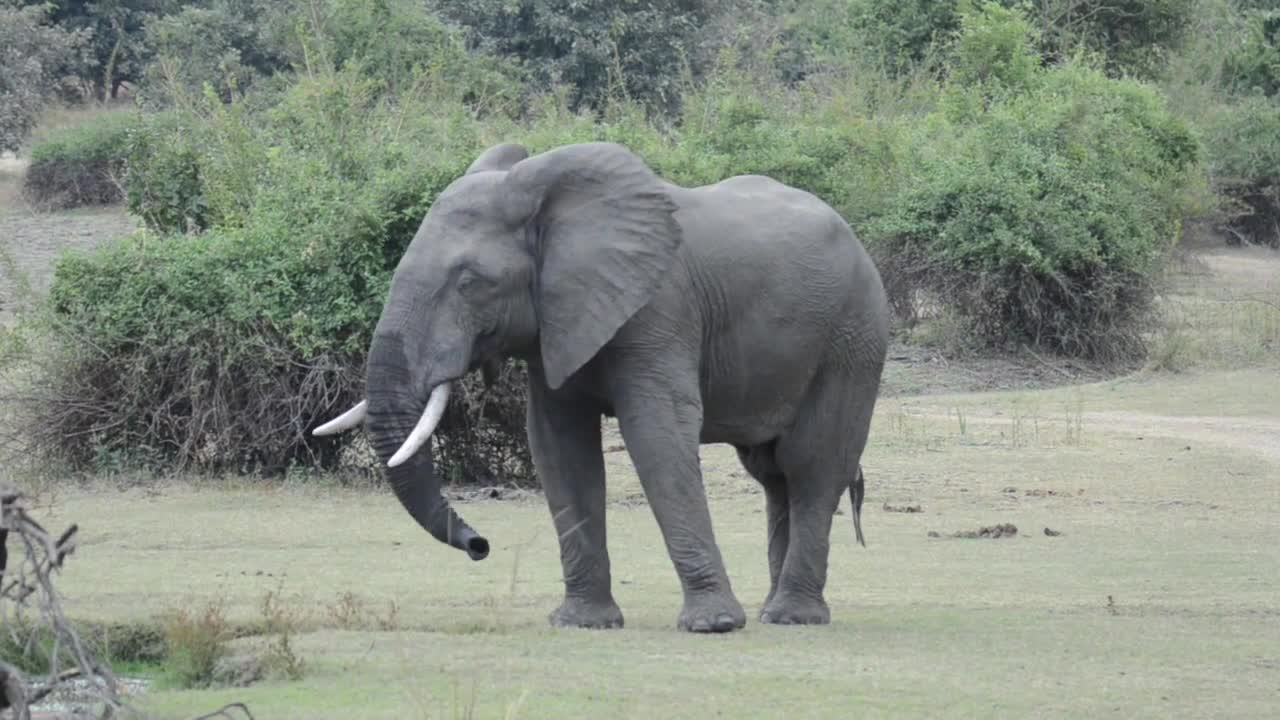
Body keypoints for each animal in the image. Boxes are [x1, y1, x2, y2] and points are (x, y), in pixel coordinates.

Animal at [314, 141, 890, 633]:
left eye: (470, 282)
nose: (480, 543)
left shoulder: (659, 310)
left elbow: (657, 434)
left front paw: (714, 625)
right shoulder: (555, 324)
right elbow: (559, 447)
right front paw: (582, 623)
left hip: (853, 336)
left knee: (810, 464)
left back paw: (793, 616)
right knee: (772, 474)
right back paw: (775, 612)